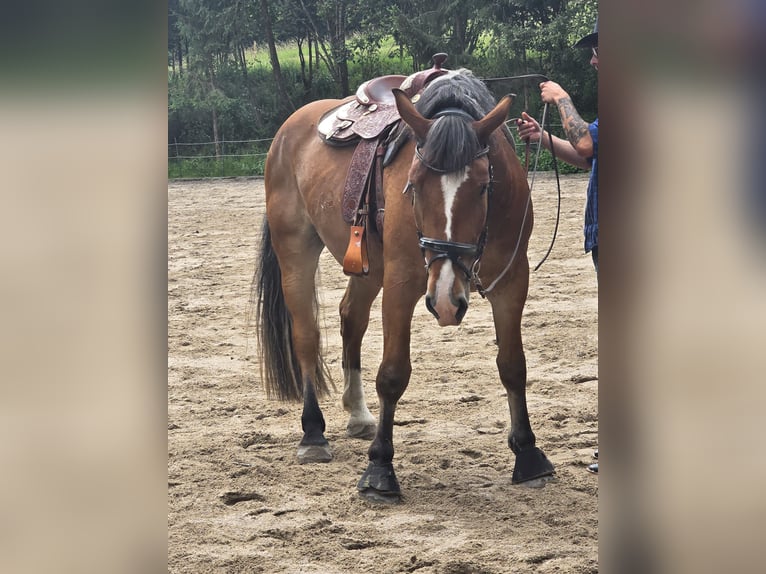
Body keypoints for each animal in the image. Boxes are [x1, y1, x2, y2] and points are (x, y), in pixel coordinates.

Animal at [255, 67, 556, 502]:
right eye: (412, 184)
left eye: (483, 185)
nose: (447, 300)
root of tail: (287, 132)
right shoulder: (401, 284)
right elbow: (393, 374)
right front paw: (380, 470)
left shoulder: (513, 280)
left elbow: (513, 365)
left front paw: (529, 455)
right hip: (296, 249)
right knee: (307, 337)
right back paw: (313, 433)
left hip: (368, 268)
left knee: (351, 318)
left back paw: (358, 413)